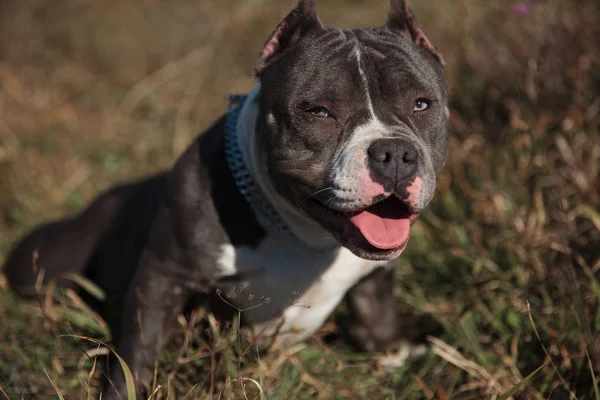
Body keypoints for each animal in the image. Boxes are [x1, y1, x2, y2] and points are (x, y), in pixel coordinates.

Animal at [2, 0, 448, 396]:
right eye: (319, 111)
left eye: (422, 104)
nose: (394, 153)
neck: (302, 237)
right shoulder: (163, 275)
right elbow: (139, 353)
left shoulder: (375, 281)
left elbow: (379, 327)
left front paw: (397, 356)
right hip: (43, 263)